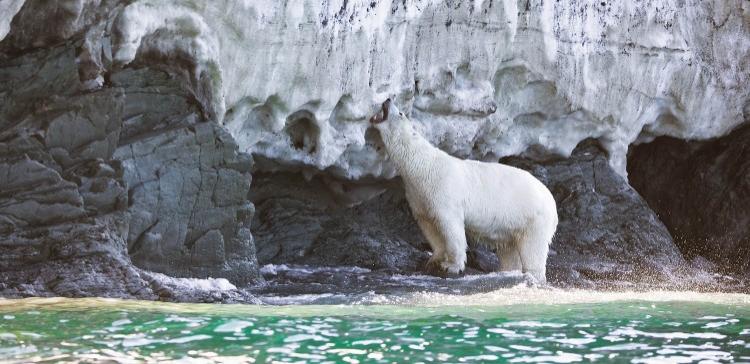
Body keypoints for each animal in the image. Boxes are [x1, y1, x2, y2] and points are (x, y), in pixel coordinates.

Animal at [370, 98, 560, 282]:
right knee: (509, 249)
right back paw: (507, 271)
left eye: (400, 112)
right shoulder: (419, 195)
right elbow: (429, 225)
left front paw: (452, 266)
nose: (387, 100)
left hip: (533, 218)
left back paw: (533, 275)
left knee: (533, 248)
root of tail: (552, 202)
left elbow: (450, 227)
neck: (424, 165)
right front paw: (433, 260)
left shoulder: (443, 189)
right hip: (513, 224)